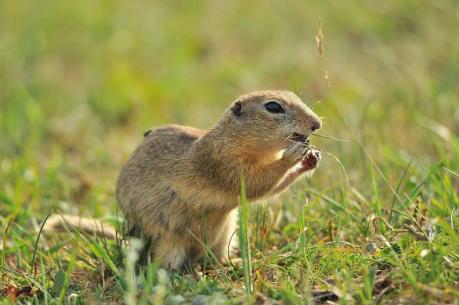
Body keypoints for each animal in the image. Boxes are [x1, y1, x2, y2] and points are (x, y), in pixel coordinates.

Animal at [117, 89, 322, 268]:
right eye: (273, 107)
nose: (317, 124)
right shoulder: (226, 164)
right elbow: (256, 183)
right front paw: (292, 155)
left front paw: (311, 159)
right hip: (167, 240)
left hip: (226, 233)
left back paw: (236, 263)